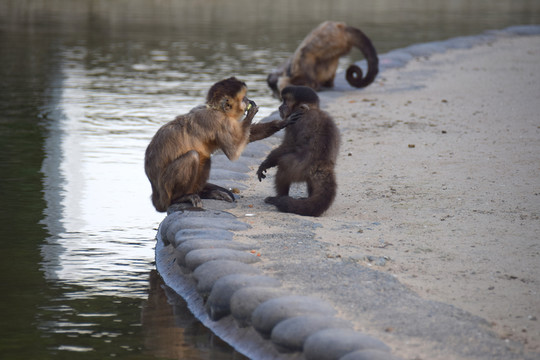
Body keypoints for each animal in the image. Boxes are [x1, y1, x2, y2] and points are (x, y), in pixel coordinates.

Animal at [144, 76, 292, 211]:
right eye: (243, 98)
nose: (248, 100)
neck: (216, 110)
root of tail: (157, 199)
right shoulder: (217, 120)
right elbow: (233, 152)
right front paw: (251, 112)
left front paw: (280, 123)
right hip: (166, 191)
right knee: (193, 156)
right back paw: (181, 198)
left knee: (204, 158)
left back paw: (203, 193)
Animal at [256, 86, 340, 218]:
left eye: (285, 102)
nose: (280, 107)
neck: (310, 110)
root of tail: (322, 165)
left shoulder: (295, 123)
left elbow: (287, 146)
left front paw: (266, 163)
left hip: (297, 170)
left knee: (283, 166)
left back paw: (279, 197)